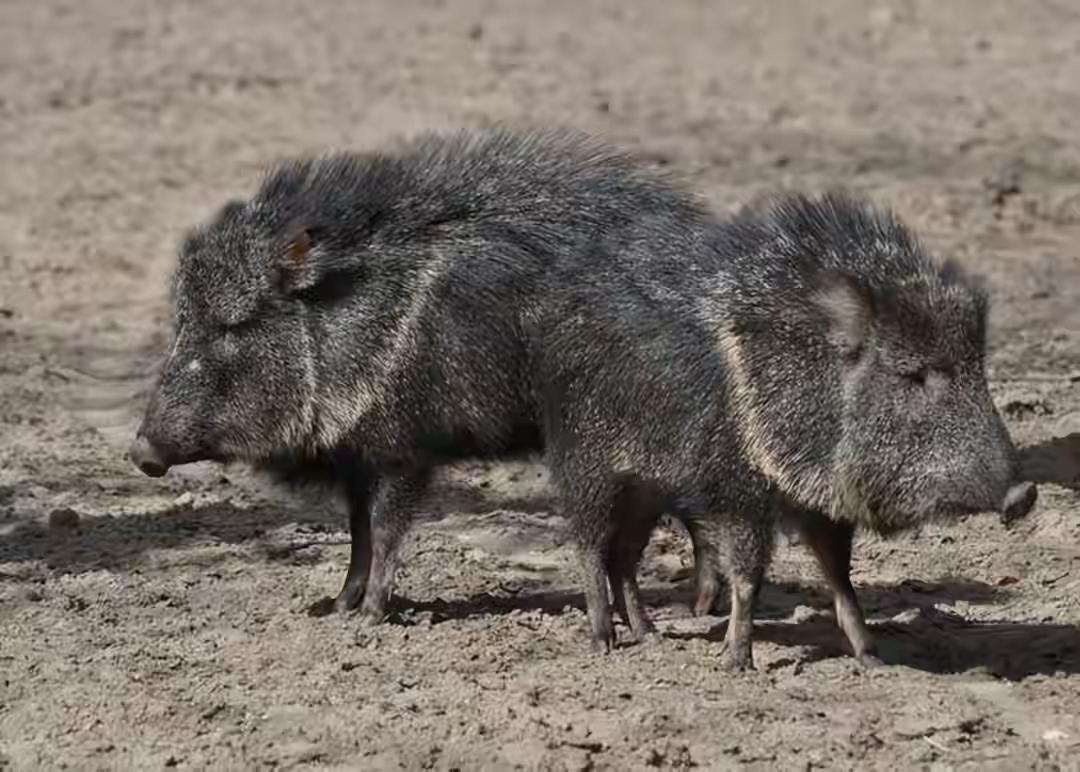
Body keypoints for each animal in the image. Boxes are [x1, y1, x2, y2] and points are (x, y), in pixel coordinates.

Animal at [539, 191, 1036, 665]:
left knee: (623, 557)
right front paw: (737, 662)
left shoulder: (822, 505)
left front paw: (872, 659)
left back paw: (649, 636)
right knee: (589, 547)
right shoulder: (740, 495)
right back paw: (602, 641)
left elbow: (842, 581)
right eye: (914, 376)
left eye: (978, 370)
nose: (1024, 494)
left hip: (648, 490)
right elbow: (748, 580)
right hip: (590, 466)